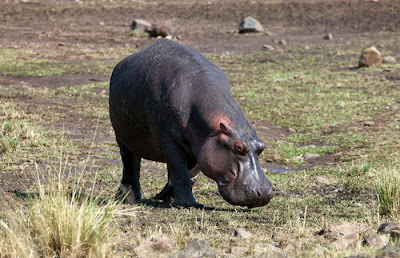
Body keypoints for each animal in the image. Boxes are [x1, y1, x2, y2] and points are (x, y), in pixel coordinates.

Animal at [108, 38, 272, 208]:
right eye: (238, 147)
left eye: (262, 146)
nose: (264, 193)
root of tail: (122, 62)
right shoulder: (169, 142)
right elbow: (180, 171)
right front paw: (188, 204)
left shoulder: (202, 145)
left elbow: (189, 173)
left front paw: (166, 196)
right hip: (122, 138)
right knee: (130, 164)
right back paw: (127, 198)